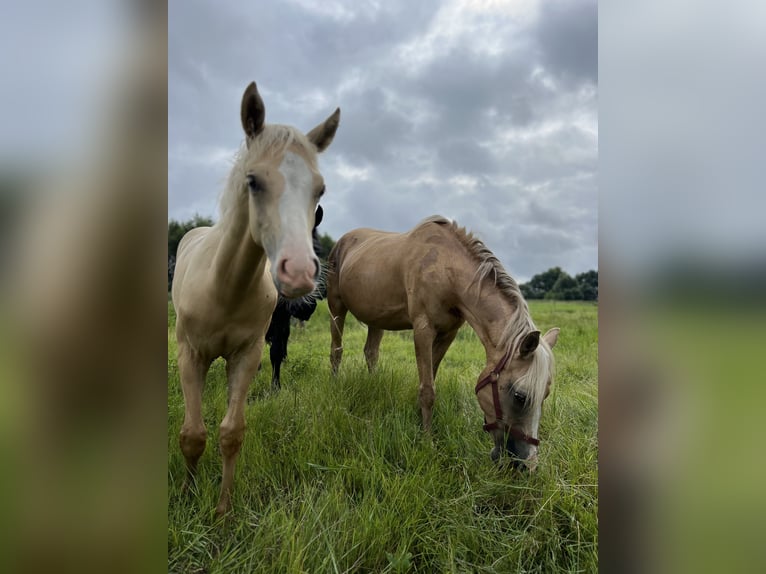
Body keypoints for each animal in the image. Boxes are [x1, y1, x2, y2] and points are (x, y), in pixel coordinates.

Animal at [328, 216, 560, 468]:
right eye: (520, 396)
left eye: (545, 395)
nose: (527, 465)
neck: (446, 270)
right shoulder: (423, 329)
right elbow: (428, 389)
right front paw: (427, 441)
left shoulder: (448, 334)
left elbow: (430, 377)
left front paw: (419, 421)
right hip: (336, 307)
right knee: (336, 350)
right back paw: (335, 385)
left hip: (376, 318)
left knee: (371, 352)